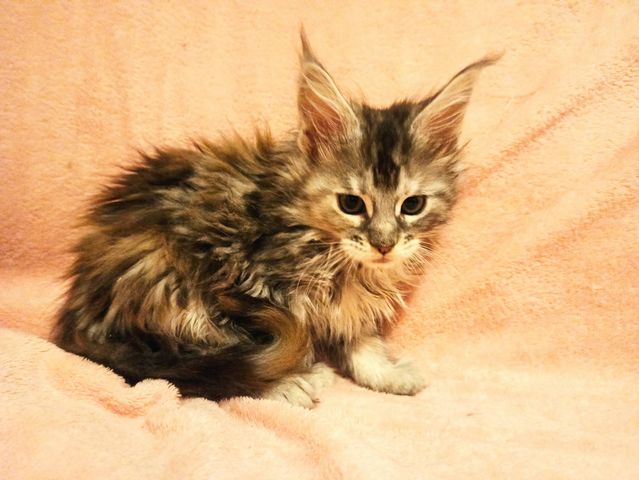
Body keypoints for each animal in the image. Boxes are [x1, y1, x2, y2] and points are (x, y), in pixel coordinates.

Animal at [53, 33, 496, 407]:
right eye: (351, 204)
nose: (384, 243)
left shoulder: (349, 301)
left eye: (413, 205)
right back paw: (285, 383)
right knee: (196, 366)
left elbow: (358, 334)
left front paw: (382, 372)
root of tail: (76, 314)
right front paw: (286, 379)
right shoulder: (243, 280)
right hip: (167, 276)